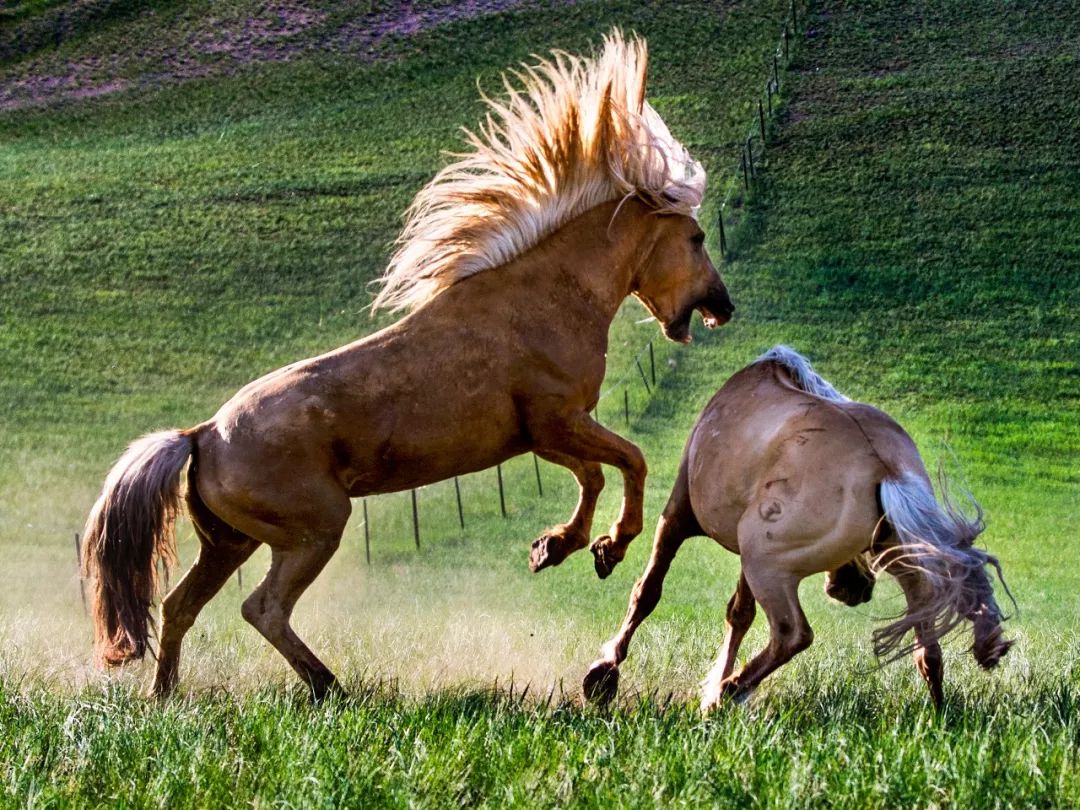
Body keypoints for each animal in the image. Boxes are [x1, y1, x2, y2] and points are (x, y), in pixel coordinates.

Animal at [79, 31, 730, 699]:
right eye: (697, 238)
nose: (721, 307)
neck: (547, 297)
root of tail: (203, 434)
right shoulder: (556, 422)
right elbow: (631, 460)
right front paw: (607, 548)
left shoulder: (543, 434)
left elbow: (596, 475)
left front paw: (557, 547)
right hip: (313, 530)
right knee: (262, 608)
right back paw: (329, 688)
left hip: (229, 542)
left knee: (180, 605)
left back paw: (166, 696)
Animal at [583, 347, 1010, 708]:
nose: (856, 591)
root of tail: (886, 468)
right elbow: (739, 614)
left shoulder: (678, 514)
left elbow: (647, 592)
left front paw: (604, 673)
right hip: (896, 560)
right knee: (928, 649)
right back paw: (938, 716)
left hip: (766, 562)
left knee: (793, 634)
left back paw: (728, 692)